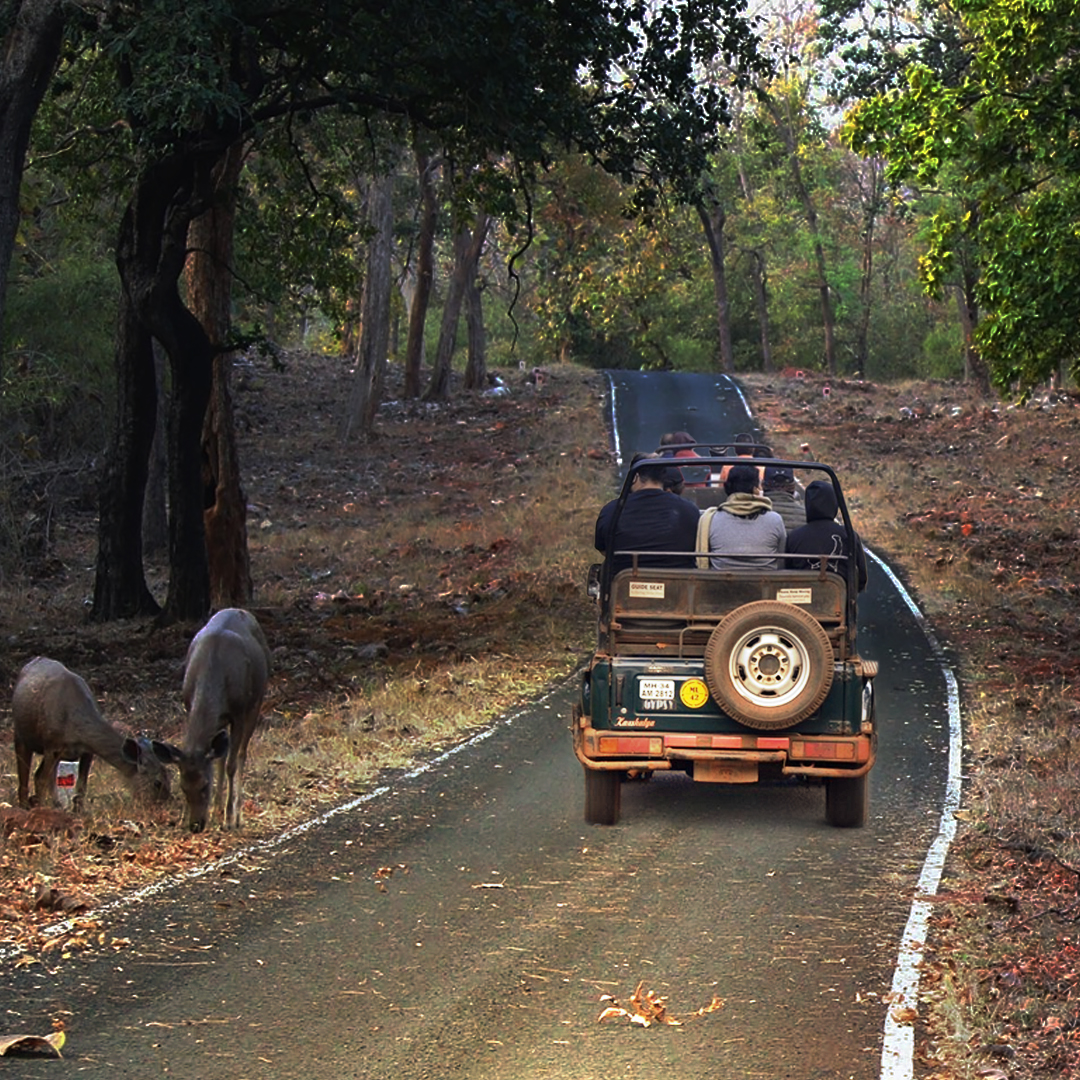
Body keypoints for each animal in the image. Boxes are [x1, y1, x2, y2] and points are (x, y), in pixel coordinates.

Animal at [13, 656, 172, 812]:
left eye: (169, 777)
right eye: (157, 783)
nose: (164, 806)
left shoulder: (87, 751)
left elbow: (81, 785)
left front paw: (78, 812)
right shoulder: (51, 744)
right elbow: (44, 781)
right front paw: (42, 810)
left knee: (39, 774)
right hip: (21, 735)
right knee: (27, 775)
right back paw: (25, 806)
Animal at [152, 613, 270, 829]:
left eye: (205, 785)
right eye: (182, 787)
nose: (195, 826)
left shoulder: (239, 712)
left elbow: (232, 764)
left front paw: (230, 819)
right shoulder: (188, 705)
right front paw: (182, 818)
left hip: (257, 700)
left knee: (241, 754)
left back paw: (236, 815)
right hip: (221, 721)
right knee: (220, 756)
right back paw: (216, 811)